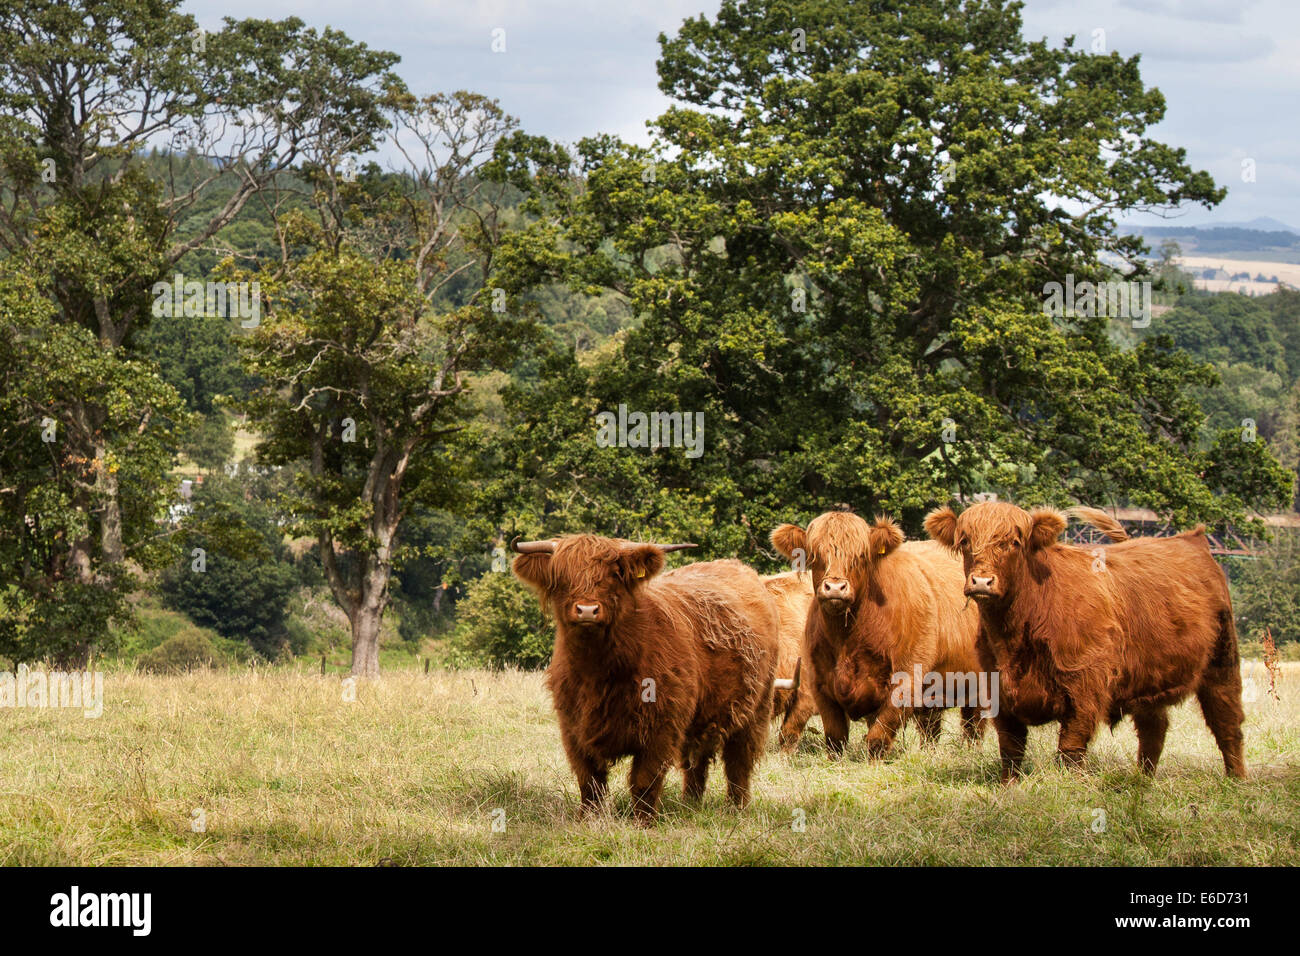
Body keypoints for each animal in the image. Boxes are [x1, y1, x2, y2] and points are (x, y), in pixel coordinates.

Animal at [509, 538, 774, 822]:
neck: (598, 671)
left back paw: (736, 808)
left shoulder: (662, 727)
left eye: (613, 574)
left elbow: (645, 779)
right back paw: (690, 804)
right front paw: (587, 818)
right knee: (696, 761)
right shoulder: (573, 728)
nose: (587, 610)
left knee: (738, 763)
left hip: (755, 711)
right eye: (562, 576)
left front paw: (642, 822)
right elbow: (589, 780)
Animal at [769, 512, 982, 759]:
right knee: (931, 727)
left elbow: (878, 736)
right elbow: (834, 739)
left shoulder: (905, 681)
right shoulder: (822, 686)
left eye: (861, 556)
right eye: (814, 555)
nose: (835, 588)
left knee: (973, 725)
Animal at [925, 504, 1248, 780]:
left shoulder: (1084, 687)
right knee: (1154, 730)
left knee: (1227, 723)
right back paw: (1142, 780)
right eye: (965, 541)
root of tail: (1192, 540)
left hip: (1223, 663)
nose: (982, 582)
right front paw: (1009, 787)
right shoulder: (998, 690)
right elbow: (1011, 749)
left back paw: (1236, 779)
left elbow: (1070, 748)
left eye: (1014, 542)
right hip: (1149, 679)